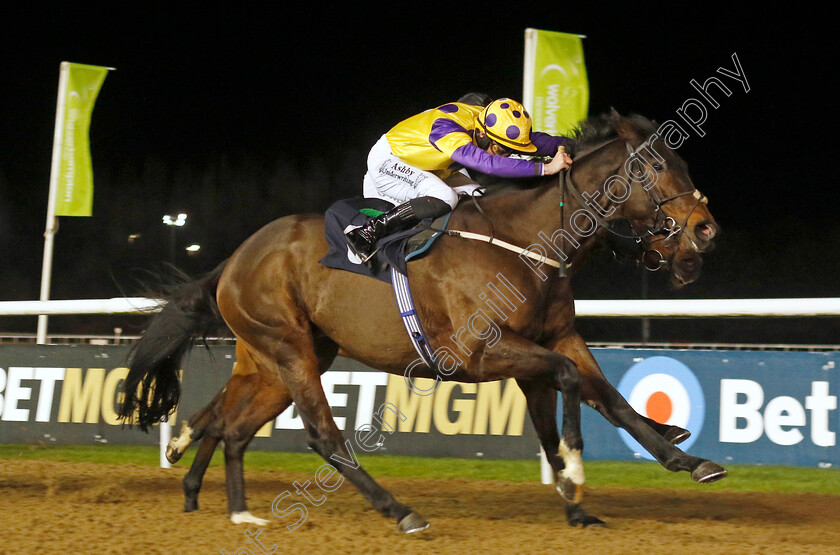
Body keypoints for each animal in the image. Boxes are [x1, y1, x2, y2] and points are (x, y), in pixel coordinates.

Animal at [118, 111, 720, 532]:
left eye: (685, 165)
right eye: (656, 167)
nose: (705, 228)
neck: (525, 243)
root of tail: (236, 258)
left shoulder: (557, 338)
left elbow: (606, 399)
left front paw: (682, 461)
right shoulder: (482, 353)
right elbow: (571, 388)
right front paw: (573, 472)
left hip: (285, 357)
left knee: (233, 425)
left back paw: (232, 505)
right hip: (288, 351)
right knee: (320, 435)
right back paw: (399, 510)